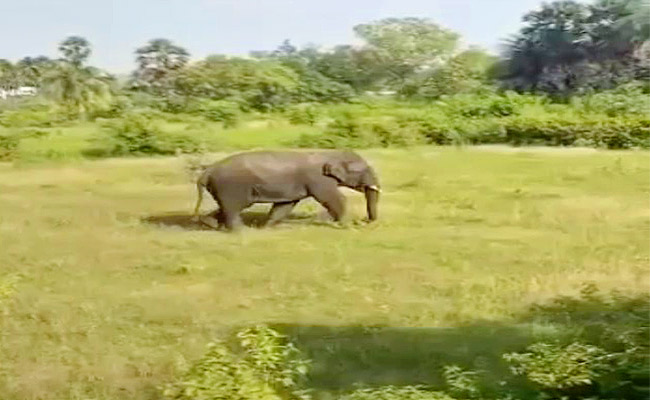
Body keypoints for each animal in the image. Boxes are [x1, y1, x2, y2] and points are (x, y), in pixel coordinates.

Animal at [193, 150, 381, 231]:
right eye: (365, 170)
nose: (364, 221)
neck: (332, 153)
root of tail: (206, 172)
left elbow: (285, 205)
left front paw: (267, 228)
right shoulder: (319, 179)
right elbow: (333, 198)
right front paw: (347, 226)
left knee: (226, 207)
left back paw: (210, 224)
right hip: (231, 186)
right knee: (233, 208)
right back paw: (242, 231)